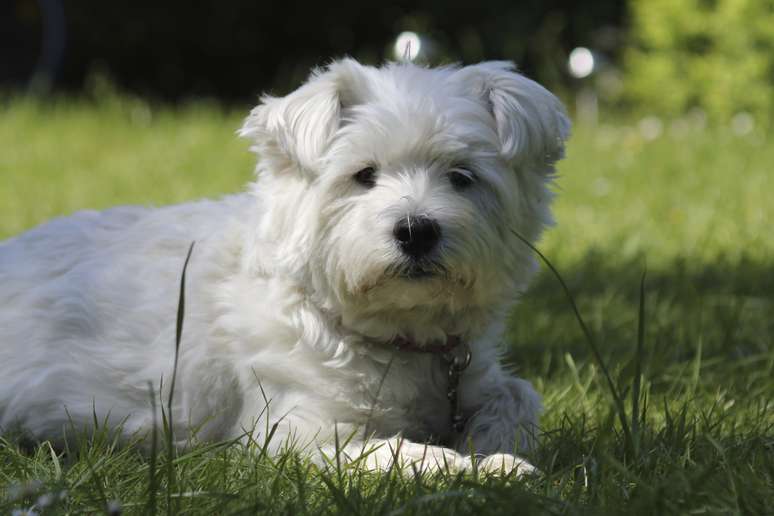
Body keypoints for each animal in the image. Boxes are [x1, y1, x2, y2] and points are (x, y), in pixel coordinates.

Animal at [0, 57, 568, 476]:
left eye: (462, 176)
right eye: (364, 175)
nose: (416, 230)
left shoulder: (471, 374)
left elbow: (518, 394)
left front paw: (496, 448)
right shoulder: (298, 431)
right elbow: (393, 451)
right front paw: (477, 467)